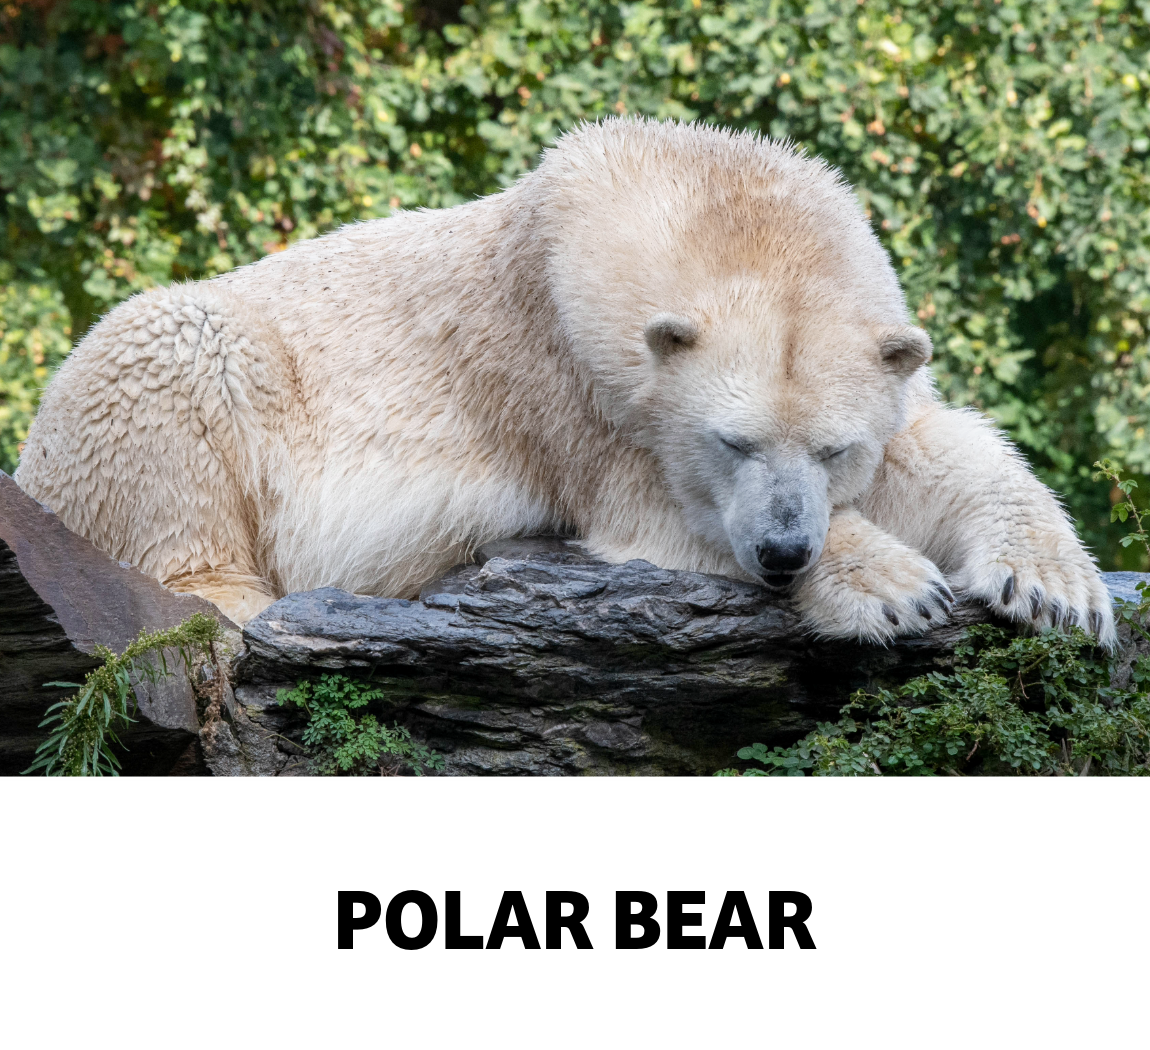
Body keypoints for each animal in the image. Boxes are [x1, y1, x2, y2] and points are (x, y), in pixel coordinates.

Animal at [16, 118, 1117, 647]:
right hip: (169, 366)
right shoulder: (562, 365)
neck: (710, 195)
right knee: (171, 362)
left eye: (832, 447)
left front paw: (1054, 589)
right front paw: (894, 590)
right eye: (732, 442)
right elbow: (658, 510)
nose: (783, 552)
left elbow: (940, 449)